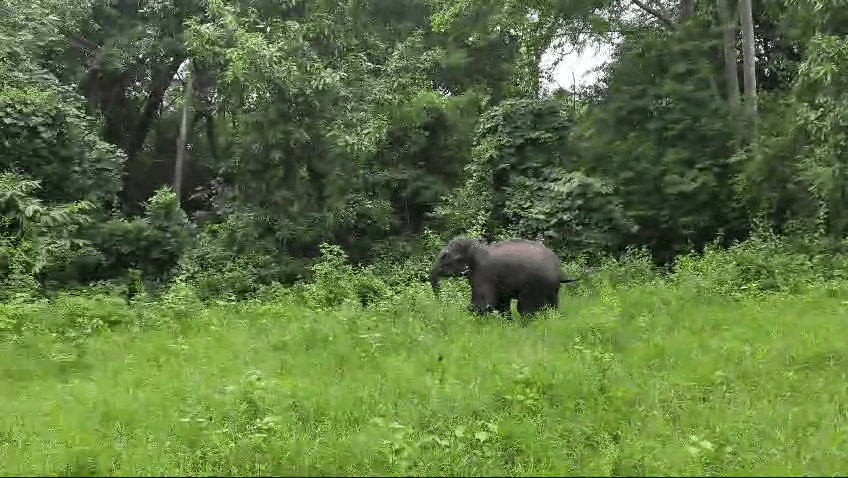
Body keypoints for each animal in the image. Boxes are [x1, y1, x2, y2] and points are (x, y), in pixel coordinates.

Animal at [430, 237, 578, 319]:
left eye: (444, 256)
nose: (441, 304)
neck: (477, 248)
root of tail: (559, 271)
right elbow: (501, 304)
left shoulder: (483, 274)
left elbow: (483, 305)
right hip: (552, 289)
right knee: (552, 306)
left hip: (535, 285)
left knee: (526, 309)